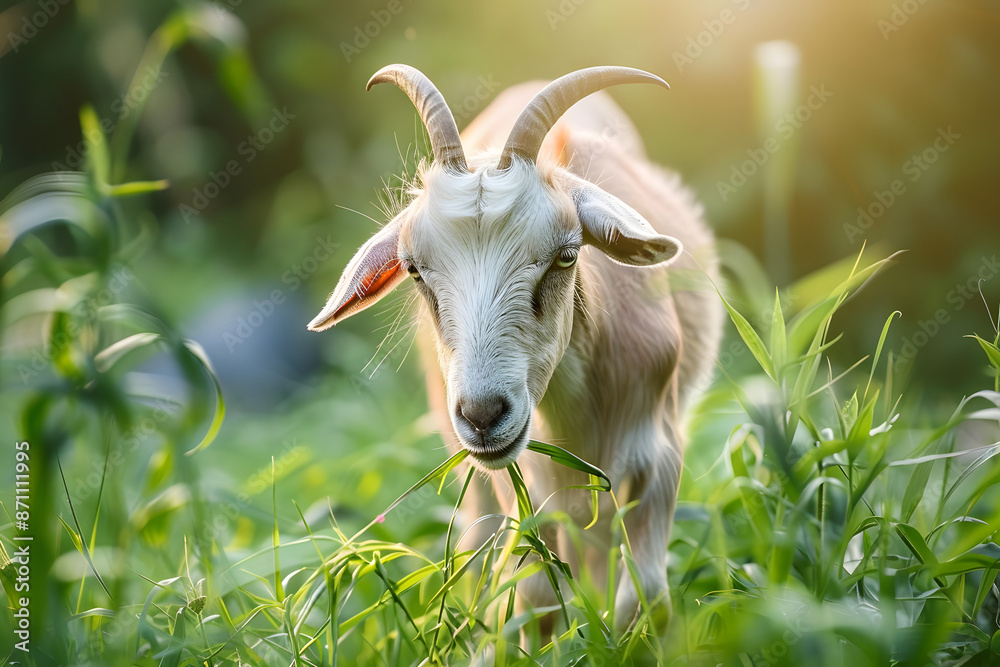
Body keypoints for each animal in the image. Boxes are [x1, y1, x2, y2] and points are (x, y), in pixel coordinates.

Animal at [309, 64, 722, 630]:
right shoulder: (520, 476)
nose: (484, 415)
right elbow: (535, 594)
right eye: (414, 269)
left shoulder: (660, 453)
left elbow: (643, 597)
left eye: (567, 255)